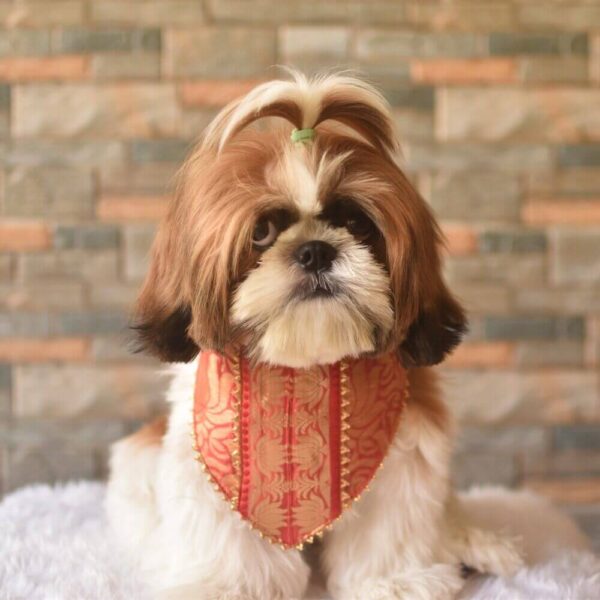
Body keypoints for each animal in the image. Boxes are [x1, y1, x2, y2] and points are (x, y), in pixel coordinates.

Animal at [105, 71, 524, 600]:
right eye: (261, 231)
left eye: (355, 222)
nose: (316, 250)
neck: (302, 372)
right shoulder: (212, 471)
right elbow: (232, 546)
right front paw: (228, 586)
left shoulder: (404, 460)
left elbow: (389, 530)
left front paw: (393, 581)